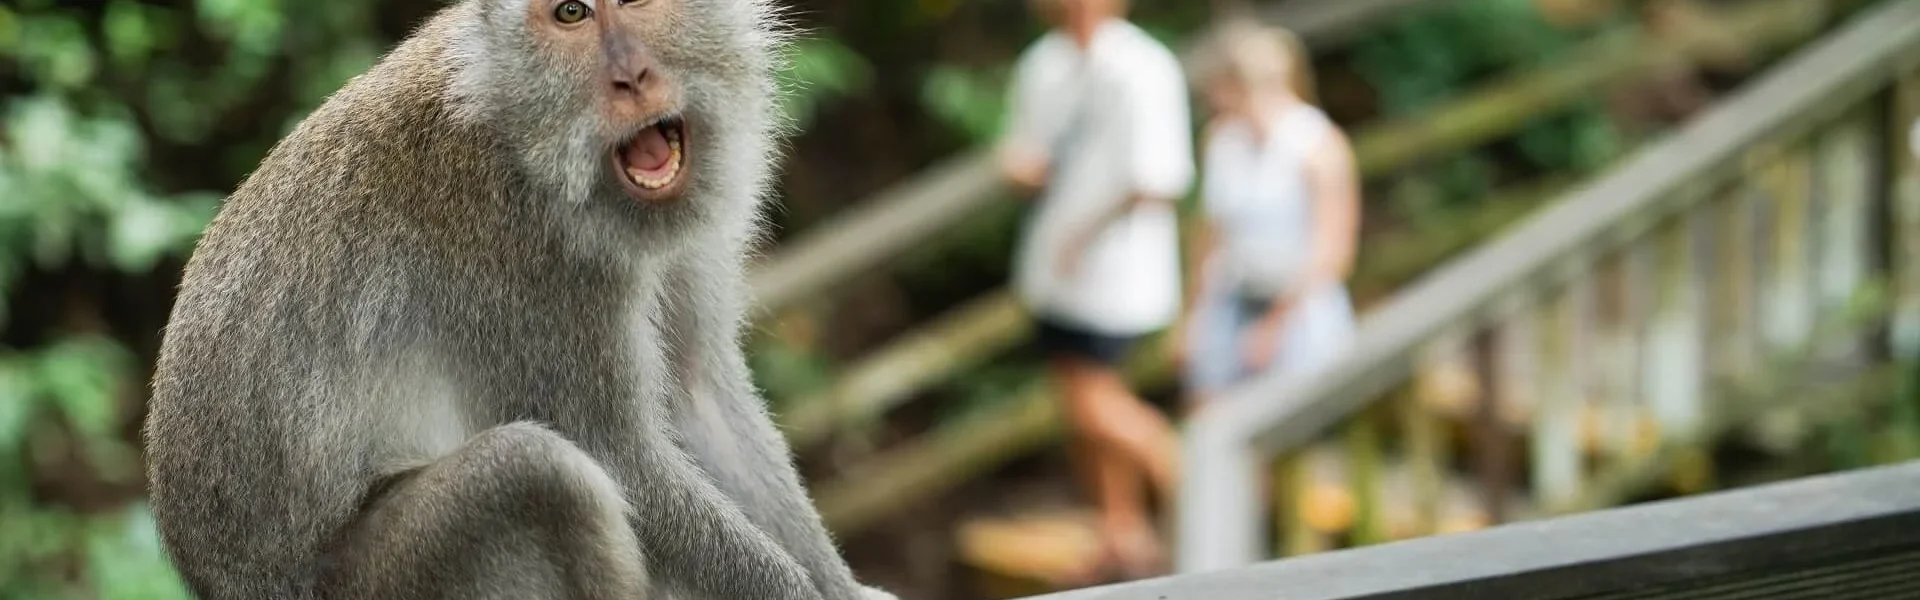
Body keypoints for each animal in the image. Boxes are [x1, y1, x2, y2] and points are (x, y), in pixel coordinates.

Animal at [140, 1, 898, 600]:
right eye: (571, 12)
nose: (631, 78)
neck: (523, 137)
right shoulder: (527, 263)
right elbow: (621, 461)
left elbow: (700, 395)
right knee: (537, 473)